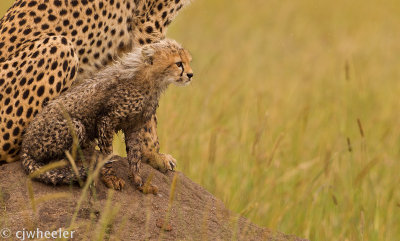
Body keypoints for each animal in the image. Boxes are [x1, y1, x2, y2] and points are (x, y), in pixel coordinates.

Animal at [21, 39, 193, 189]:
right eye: (179, 63)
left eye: (188, 62)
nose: (191, 75)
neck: (150, 80)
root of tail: (25, 144)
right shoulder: (106, 120)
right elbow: (107, 155)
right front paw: (111, 178)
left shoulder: (134, 126)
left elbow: (135, 155)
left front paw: (139, 181)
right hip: (73, 127)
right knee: (57, 158)